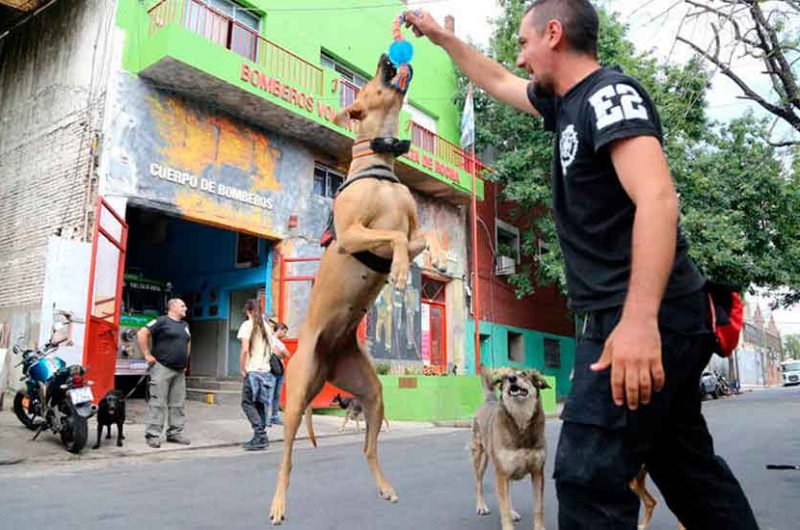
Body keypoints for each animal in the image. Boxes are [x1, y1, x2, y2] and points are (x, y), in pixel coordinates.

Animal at [268, 52, 434, 520]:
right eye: (368, 87)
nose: (385, 57)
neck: (378, 168)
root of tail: (325, 358)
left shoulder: (415, 233)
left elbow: (416, 240)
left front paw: (402, 268)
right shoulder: (353, 234)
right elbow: (392, 237)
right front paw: (398, 272)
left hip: (371, 392)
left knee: (368, 449)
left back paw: (384, 486)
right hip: (296, 395)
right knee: (287, 458)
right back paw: (278, 502)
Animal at [476, 368, 552, 528]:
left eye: (523, 374)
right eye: (505, 378)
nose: (511, 378)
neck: (521, 422)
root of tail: (490, 400)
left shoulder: (537, 472)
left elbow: (538, 507)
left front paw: (539, 527)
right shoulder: (501, 473)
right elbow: (503, 507)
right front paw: (508, 524)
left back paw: (512, 512)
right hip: (481, 459)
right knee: (479, 483)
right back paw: (481, 506)